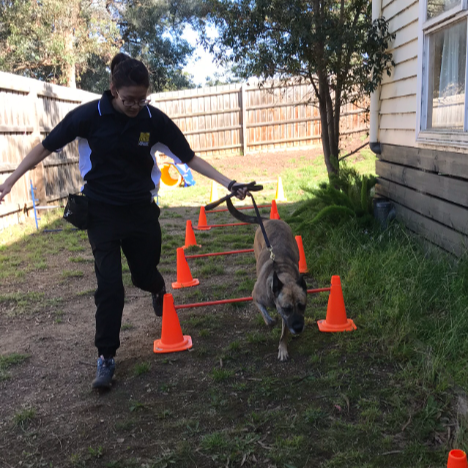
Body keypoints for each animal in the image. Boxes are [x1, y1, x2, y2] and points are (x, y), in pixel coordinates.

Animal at [252, 220, 308, 362]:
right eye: (286, 308)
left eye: (302, 306)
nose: (298, 328)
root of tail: (269, 220)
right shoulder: (256, 297)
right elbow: (267, 317)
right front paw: (271, 321)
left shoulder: (286, 319)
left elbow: (284, 333)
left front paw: (282, 349)